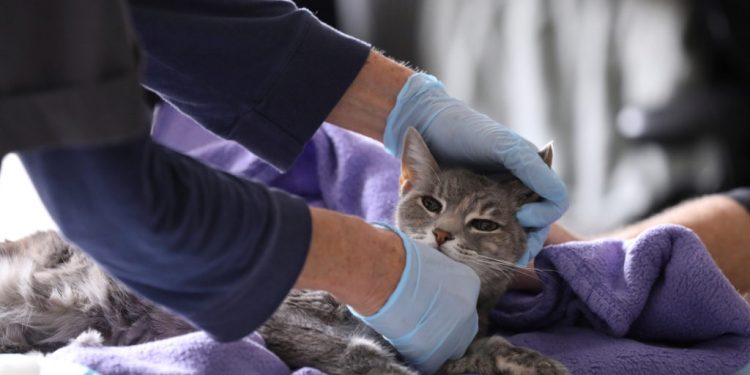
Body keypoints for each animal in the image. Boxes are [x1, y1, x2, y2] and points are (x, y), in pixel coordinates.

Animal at [0, 128, 568, 374]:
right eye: (431, 204)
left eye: (483, 223)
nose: (445, 235)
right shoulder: (285, 321)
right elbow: (365, 357)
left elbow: (474, 354)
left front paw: (527, 358)